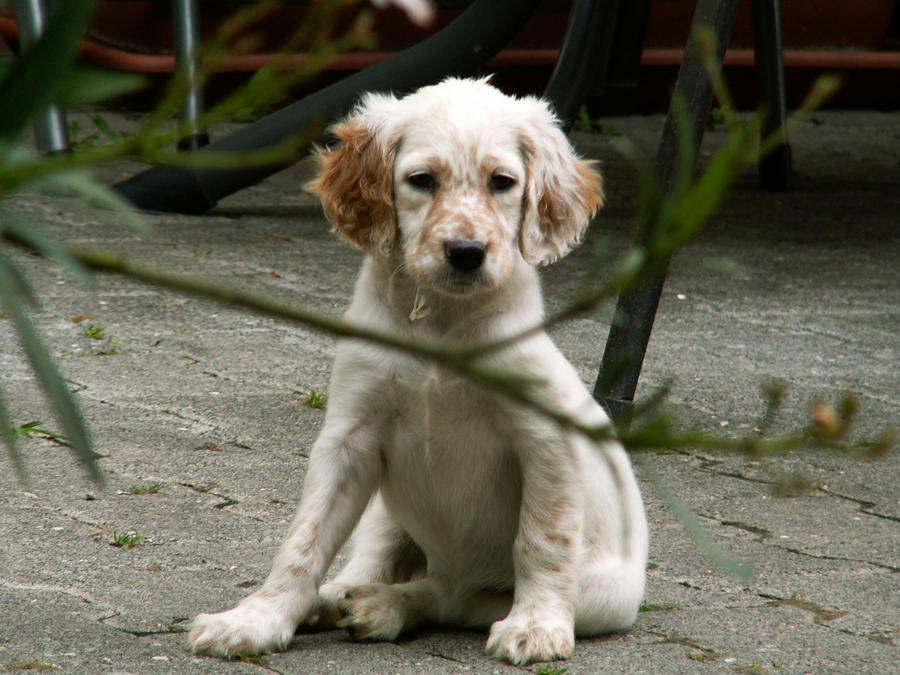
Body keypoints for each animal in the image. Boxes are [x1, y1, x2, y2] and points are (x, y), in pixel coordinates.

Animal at [188, 76, 648, 664]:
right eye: (422, 180)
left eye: (503, 182)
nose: (467, 252)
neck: (441, 326)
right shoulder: (350, 437)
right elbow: (304, 539)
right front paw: (255, 619)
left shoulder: (547, 440)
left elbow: (542, 540)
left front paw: (537, 624)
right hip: (386, 513)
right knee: (382, 565)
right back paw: (338, 597)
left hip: (603, 595)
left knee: (451, 597)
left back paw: (382, 606)